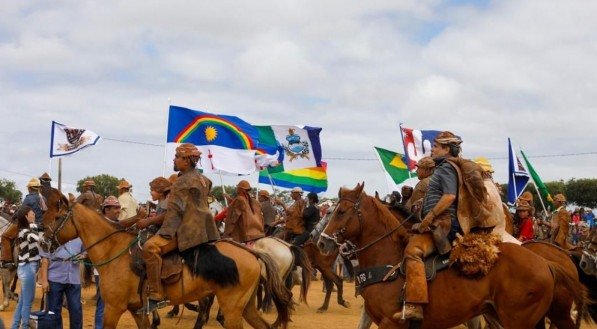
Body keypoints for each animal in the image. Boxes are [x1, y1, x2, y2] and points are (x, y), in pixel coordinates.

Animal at [42, 190, 294, 328]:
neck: (114, 251)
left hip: (233, 309)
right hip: (245, 306)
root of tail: (253, 252)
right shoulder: (137, 310)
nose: (43, 239)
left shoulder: (114, 309)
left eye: (56, 216)